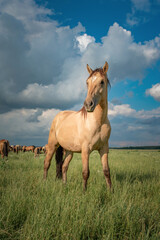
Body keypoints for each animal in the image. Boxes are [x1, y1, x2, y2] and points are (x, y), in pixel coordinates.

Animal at [43, 62, 111, 191]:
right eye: (87, 82)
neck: (98, 122)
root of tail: (58, 116)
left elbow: (106, 171)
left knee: (64, 166)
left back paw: (64, 184)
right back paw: (43, 182)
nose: (88, 104)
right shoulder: (85, 150)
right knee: (47, 164)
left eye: (102, 82)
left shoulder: (104, 149)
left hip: (69, 151)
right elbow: (85, 172)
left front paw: (111, 191)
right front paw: (84, 192)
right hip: (52, 145)